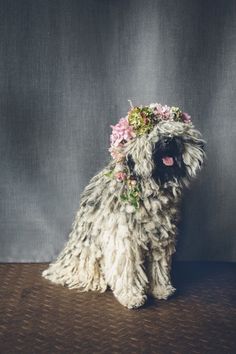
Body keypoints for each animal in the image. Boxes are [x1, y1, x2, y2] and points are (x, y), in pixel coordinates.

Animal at [42, 101, 205, 306]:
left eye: (176, 132)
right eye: (152, 132)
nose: (168, 140)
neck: (149, 188)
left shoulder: (160, 237)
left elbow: (159, 264)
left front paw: (161, 289)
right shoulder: (124, 239)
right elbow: (128, 268)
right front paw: (132, 296)